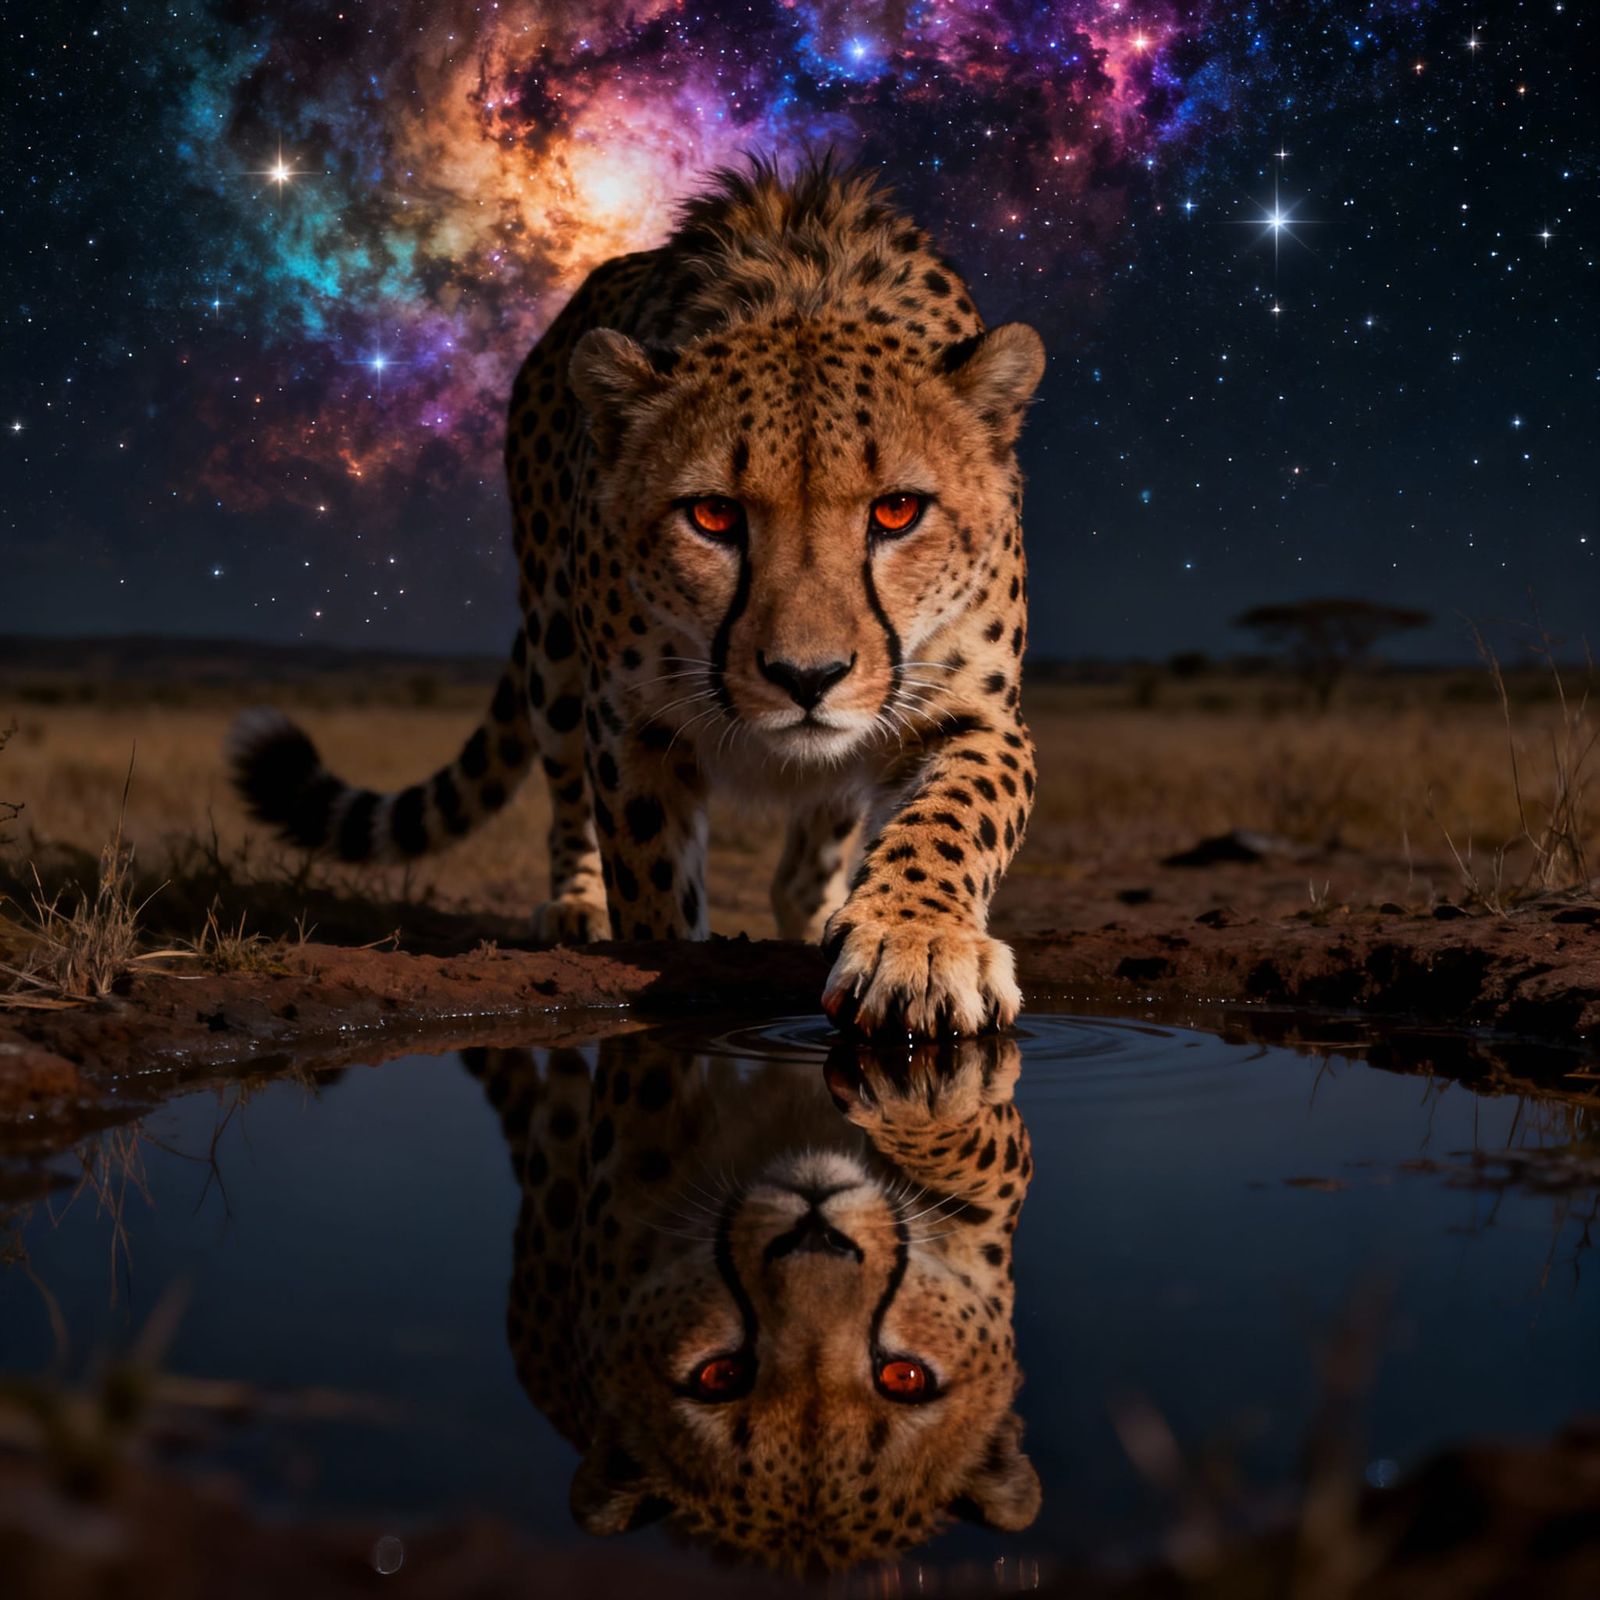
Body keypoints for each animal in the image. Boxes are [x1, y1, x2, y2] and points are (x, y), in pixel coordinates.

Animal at [230, 154, 1045, 1035]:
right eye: (713, 515)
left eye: (897, 511)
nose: (808, 678)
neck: (806, 287)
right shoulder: (631, 724)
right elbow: (652, 885)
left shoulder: (973, 710)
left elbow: (951, 819)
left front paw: (917, 942)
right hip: (555, 660)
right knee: (564, 792)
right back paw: (575, 906)